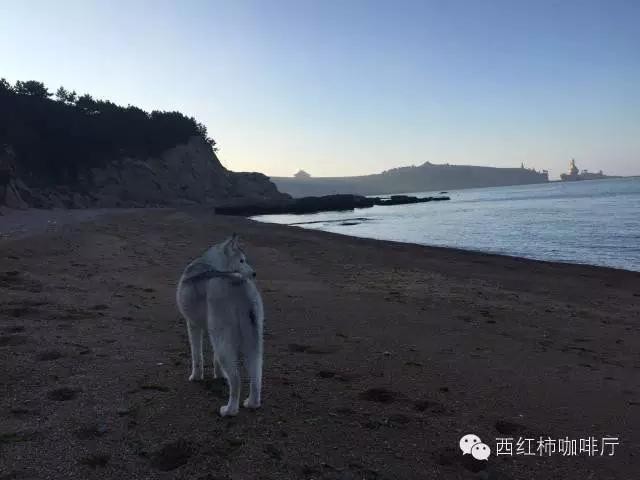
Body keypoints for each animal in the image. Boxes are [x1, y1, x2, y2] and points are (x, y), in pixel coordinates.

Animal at [175, 234, 262, 414]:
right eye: (242, 260)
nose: (254, 273)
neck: (210, 262)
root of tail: (240, 285)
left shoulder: (192, 325)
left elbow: (197, 356)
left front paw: (195, 377)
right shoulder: (212, 332)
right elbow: (214, 358)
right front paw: (219, 374)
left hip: (222, 336)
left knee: (236, 380)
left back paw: (229, 410)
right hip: (254, 339)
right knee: (256, 375)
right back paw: (252, 403)